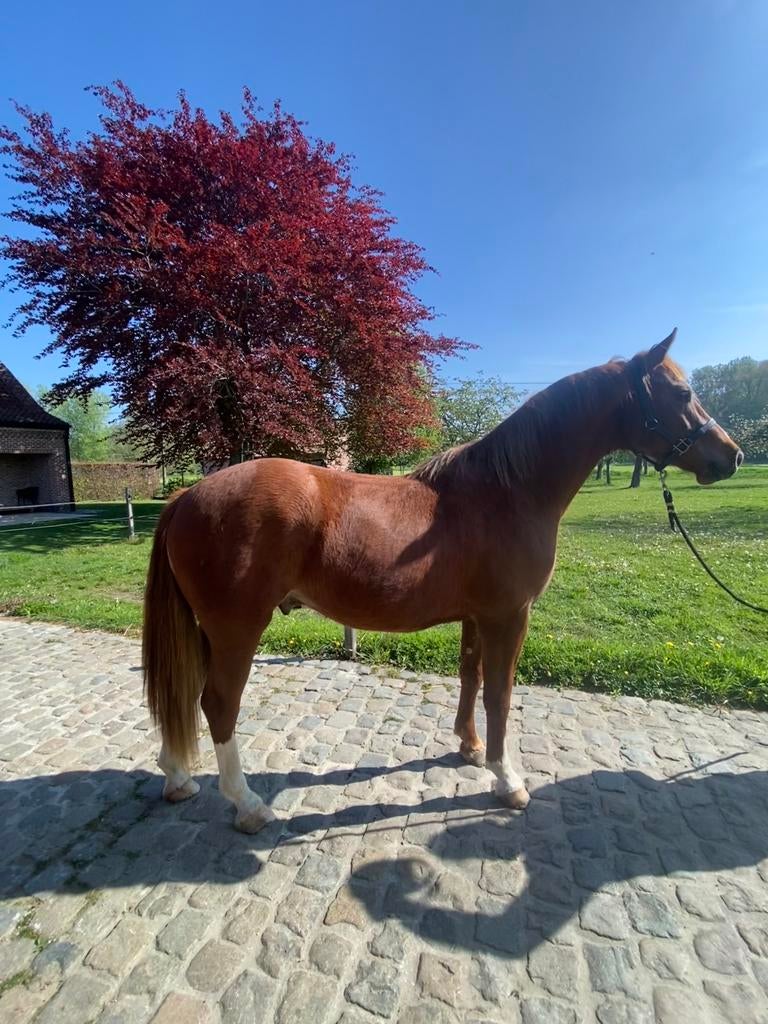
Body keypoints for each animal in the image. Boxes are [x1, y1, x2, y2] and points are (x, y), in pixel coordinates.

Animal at [143, 330, 743, 832]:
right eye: (682, 392)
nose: (732, 456)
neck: (507, 491)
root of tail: (186, 495)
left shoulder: (479, 616)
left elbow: (471, 678)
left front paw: (470, 749)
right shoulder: (510, 616)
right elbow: (501, 692)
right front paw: (507, 780)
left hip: (210, 631)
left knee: (187, 692)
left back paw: (178, 777)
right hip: (237, 629)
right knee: (219, 703)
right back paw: (248, 805)